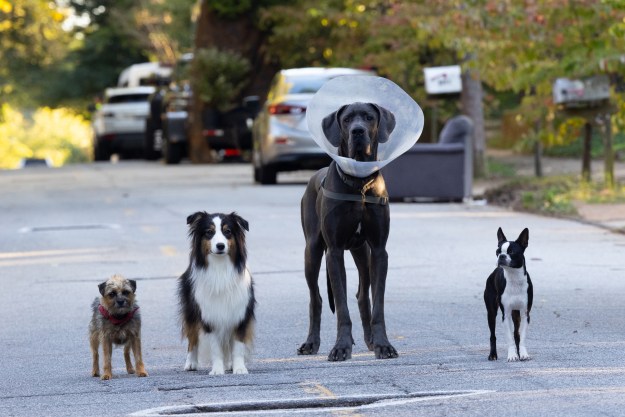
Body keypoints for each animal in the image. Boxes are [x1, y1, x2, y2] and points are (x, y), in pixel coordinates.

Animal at [177, 211, 255, 374]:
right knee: (192, 338)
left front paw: (239, 368)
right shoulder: (209, 316)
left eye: (228, 231)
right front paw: (217, 370)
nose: (220, 246)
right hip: (191, 312)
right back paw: (191, 363)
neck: (220, 268)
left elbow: (238, 345)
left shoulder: (240, 313)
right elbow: (215, 347)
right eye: (209, 232)